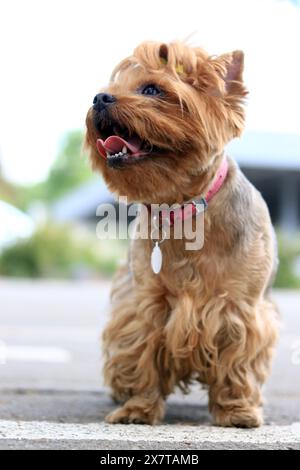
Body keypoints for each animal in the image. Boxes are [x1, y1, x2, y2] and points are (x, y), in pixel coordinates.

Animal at [85, 42, 278, 428]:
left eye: (151, 90)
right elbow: (141, 351)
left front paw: (237, 410)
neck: (181, 207)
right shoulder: (147, 303)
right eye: (114, 86)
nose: (99, 97)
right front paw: (138, 409)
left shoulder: (241, 307)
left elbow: (238, 361)